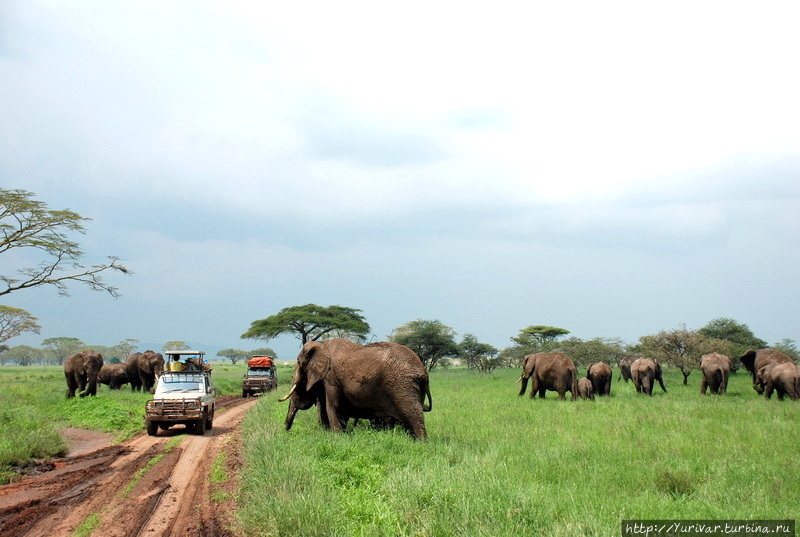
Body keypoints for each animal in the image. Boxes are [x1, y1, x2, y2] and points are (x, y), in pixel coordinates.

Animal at [280, 342, 432, 438]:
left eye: (298, 362)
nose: (286, 432)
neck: (322, 344)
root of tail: (423, 372)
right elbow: (325, 406)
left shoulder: (331, 377)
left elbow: (332, 406)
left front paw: (337, 437)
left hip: (402, 386)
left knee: (412, 414)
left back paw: (421, 443)